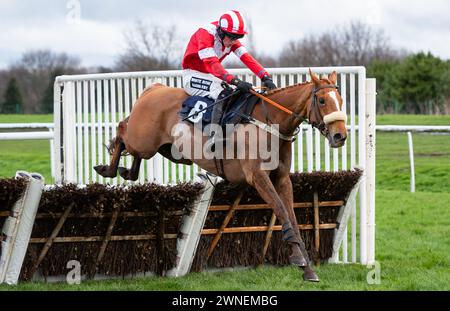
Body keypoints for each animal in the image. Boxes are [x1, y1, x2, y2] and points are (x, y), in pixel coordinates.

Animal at [94, 70, 348, 282]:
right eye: (322, 100)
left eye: (341, 100)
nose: (340, 136)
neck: (271, 123)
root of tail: (154, 88)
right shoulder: (258, 177)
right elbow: (282, 212)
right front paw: (300, 261)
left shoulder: (282, 178)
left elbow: (292, 219)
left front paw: (307, 268)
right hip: (143, 140)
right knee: (122, 130)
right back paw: (107, 168)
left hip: (167, 150)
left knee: (132, 152)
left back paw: (126, 170)